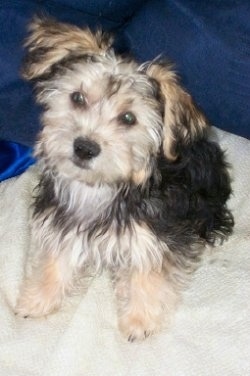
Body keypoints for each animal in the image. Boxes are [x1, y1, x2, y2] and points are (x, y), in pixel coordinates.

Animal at [16, 16, 234, 340]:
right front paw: (39, 297)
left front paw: (139, 319)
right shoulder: (62, 220)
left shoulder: (155, 233)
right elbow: (56, 258)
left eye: (129, 118)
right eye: (77, 98)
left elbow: (148, 271)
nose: (84, 147)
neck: (102, 187)